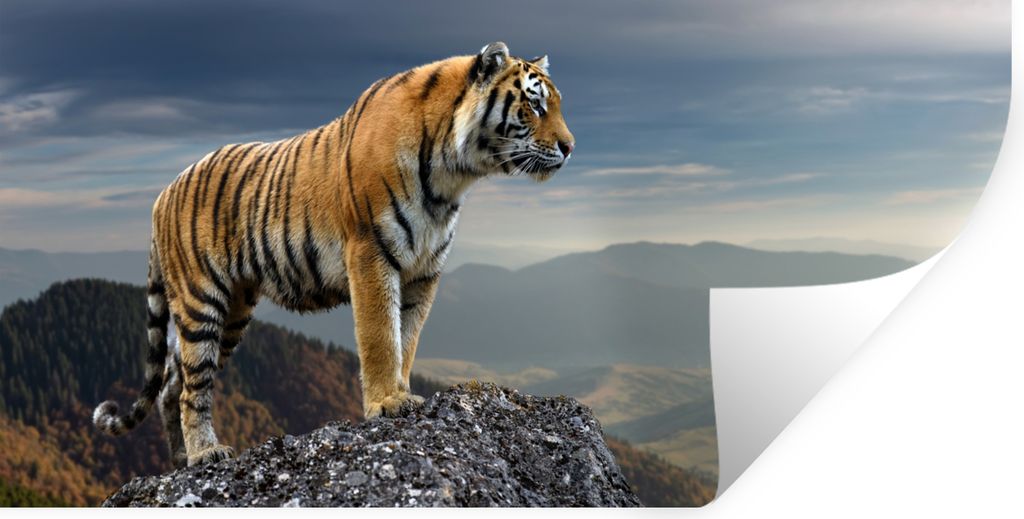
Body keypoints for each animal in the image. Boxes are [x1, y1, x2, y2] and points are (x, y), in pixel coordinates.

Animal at [92, 42, 575, 468]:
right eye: (534, 106)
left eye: (557, 105)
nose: (570, 147)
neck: (451, 176)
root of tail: (161, 194)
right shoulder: (371, 254)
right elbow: (381, 336)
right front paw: (387, 403)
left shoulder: (424, 272)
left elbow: (407, 338)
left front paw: (402, 392)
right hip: (201, 301)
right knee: (193, 387)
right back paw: (205, 453)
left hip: (233, 312)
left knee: (172, 385)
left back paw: (180, 461)